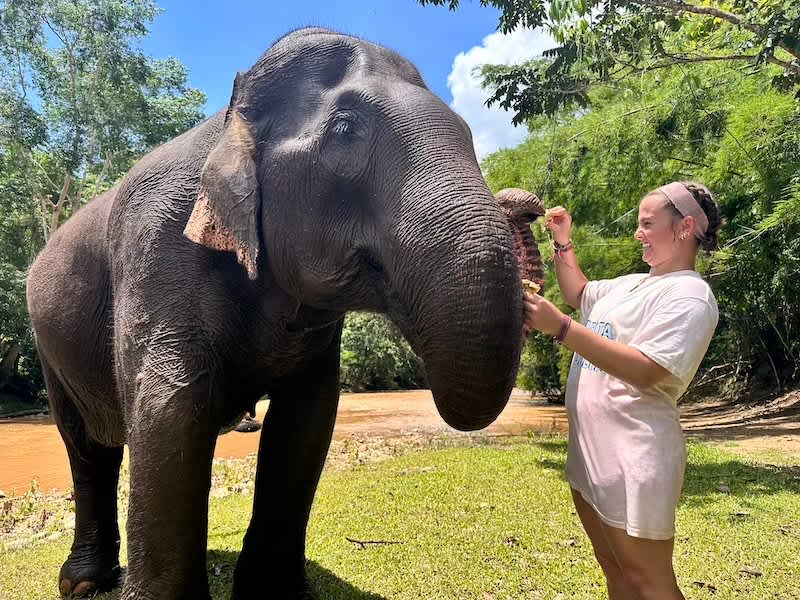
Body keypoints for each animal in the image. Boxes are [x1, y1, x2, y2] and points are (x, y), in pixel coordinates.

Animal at [26, 28, 542, 600]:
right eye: (345, 130)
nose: (524, 204)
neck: (231, 118)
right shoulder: (154, 247)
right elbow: (170, 405)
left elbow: (307, 416)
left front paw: (274, 593)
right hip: (48, 349)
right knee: (85, 446)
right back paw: (82, 584)